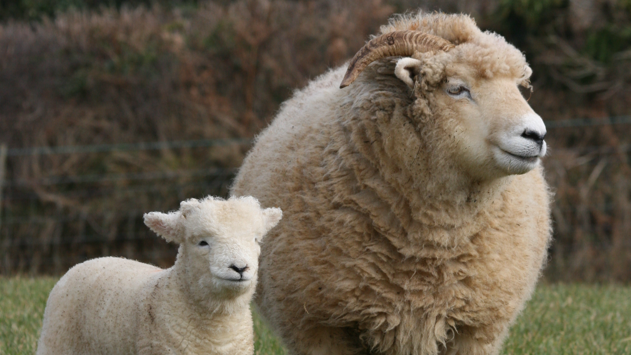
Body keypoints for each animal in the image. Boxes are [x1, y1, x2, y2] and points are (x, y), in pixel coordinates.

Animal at [232, 11, 552, 355]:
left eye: (518, 87)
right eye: (456, 89)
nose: (536, 135)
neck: (430, 245)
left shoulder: (474, 328)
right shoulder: (320, 327)